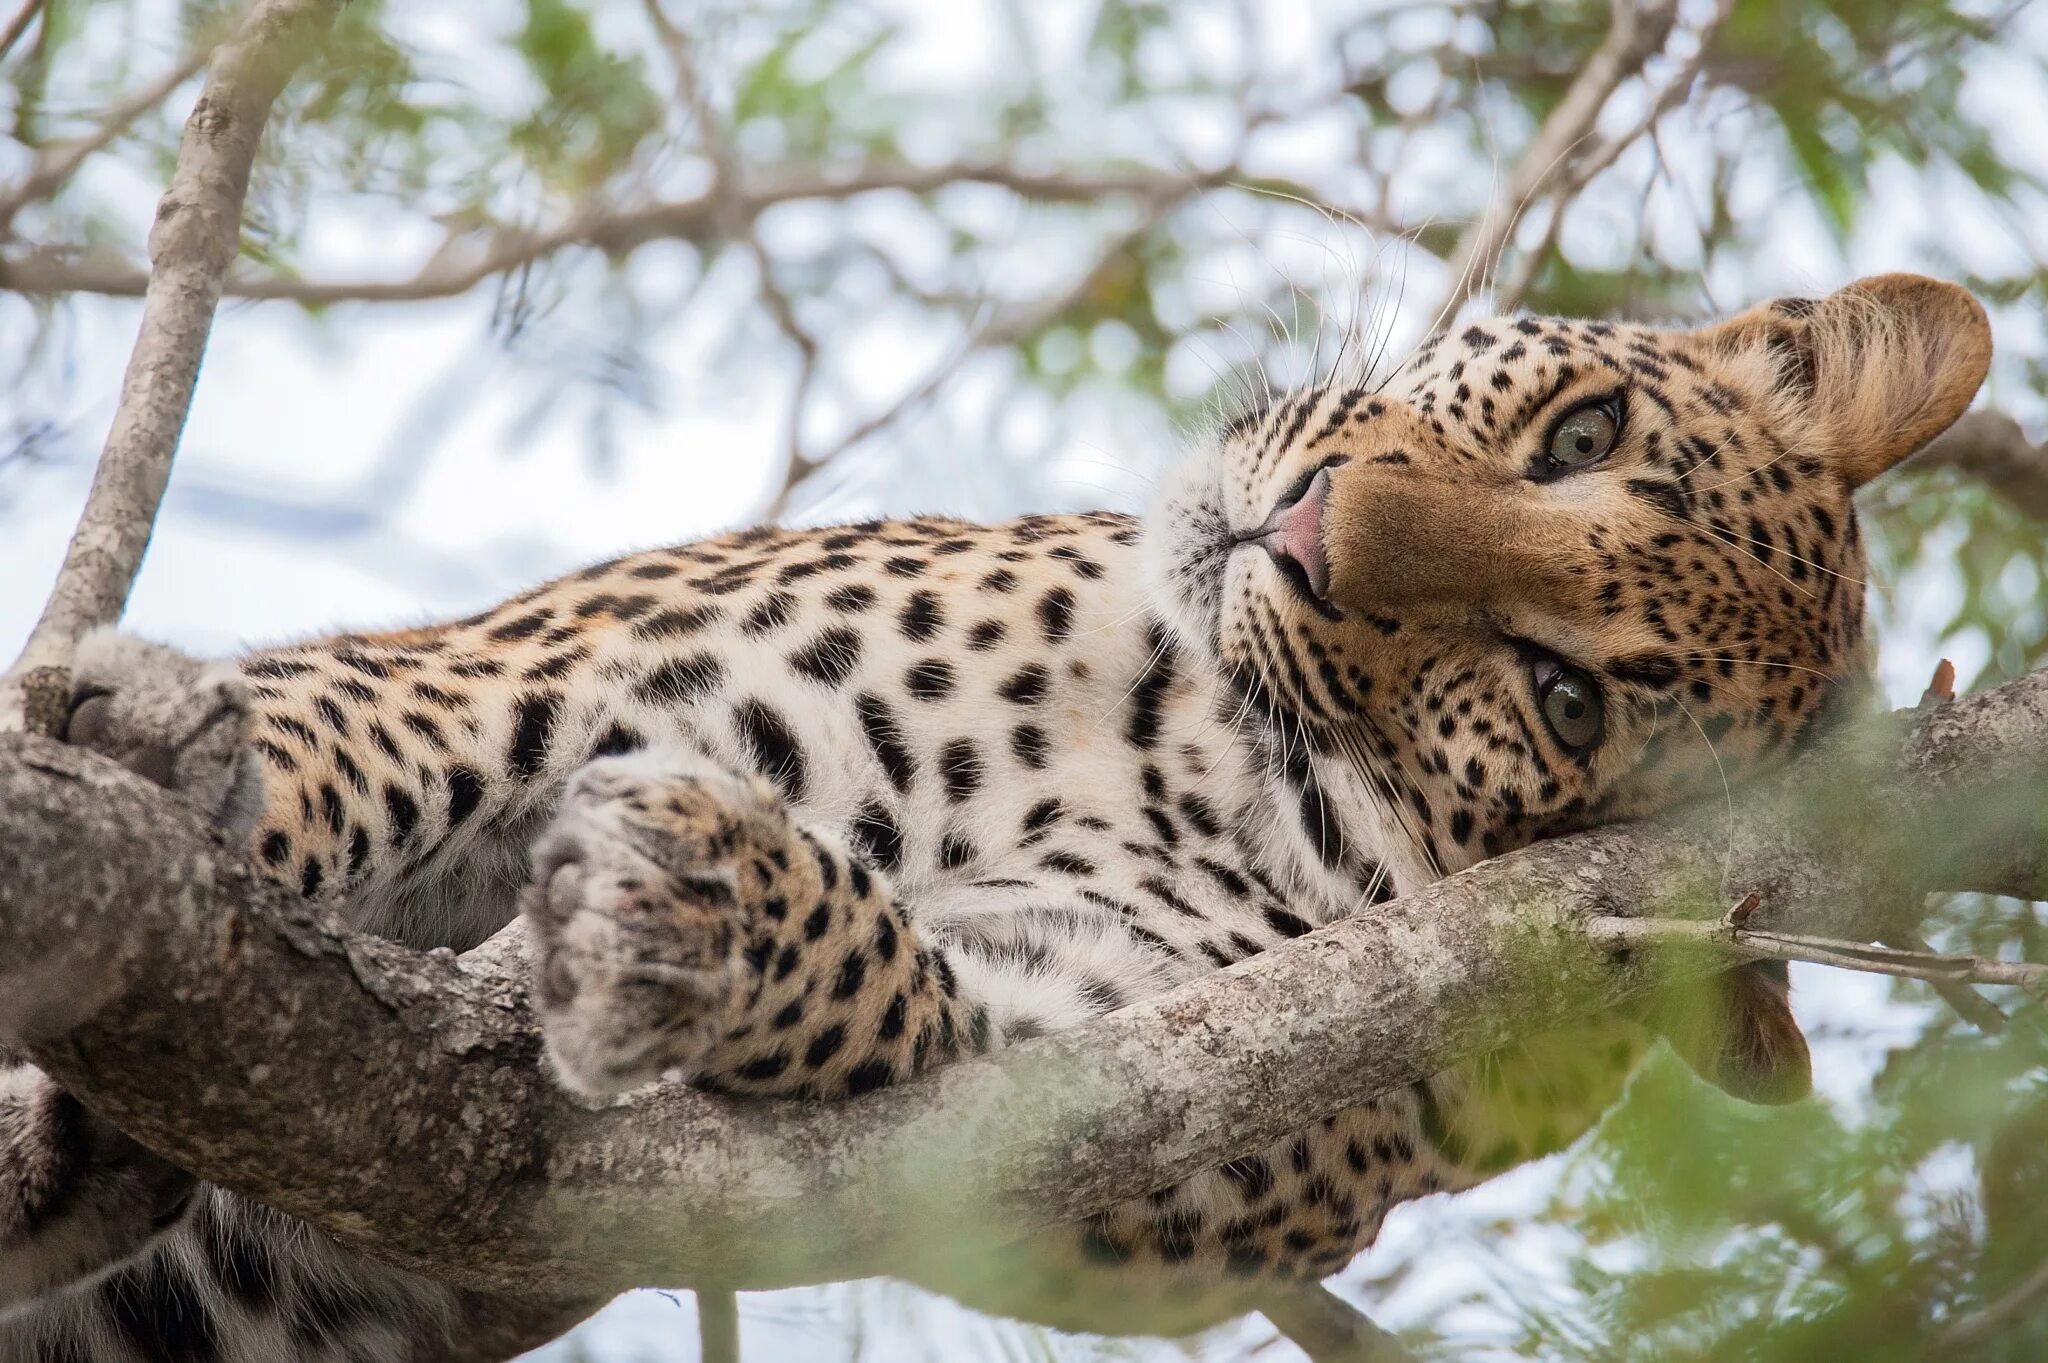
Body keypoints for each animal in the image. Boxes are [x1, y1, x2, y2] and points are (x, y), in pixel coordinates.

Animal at [0, 270, 1982, 1350]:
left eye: (1562, 693)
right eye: (1575, 435)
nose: (1307, 528)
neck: (1176, 740)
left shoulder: (1103, 1105)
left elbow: (902, 999)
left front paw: (695, 907)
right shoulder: (548, 678)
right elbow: (354, 735)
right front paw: (161, 746)